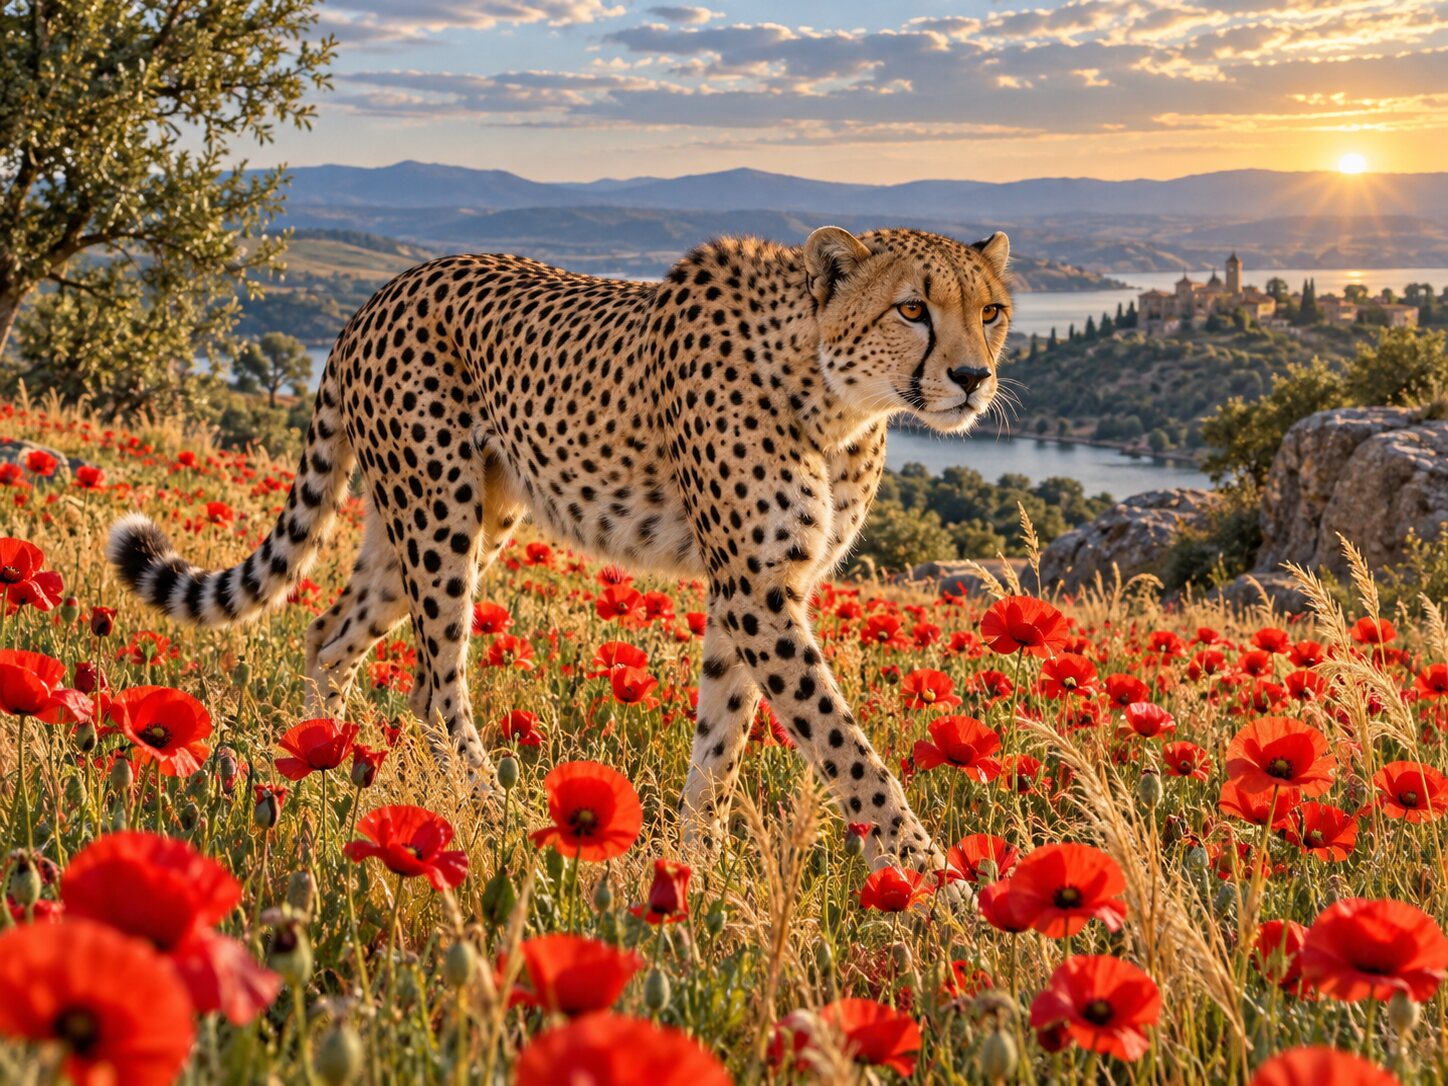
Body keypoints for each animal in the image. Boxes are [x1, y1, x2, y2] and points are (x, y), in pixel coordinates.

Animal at [107, 225, 1012, 871]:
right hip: (439, 516)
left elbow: (721, 742)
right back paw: (489, 814)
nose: (973, 379)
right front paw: (945, 892)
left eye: (992, 312)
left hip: (450, 523)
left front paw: (695, 872)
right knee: (435, 688)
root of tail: (384, 290)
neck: (835, 396)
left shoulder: (747, 590)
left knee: (331, 635)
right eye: (912, 309)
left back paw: (318, 762)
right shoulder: (758, 589)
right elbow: (847, 750)